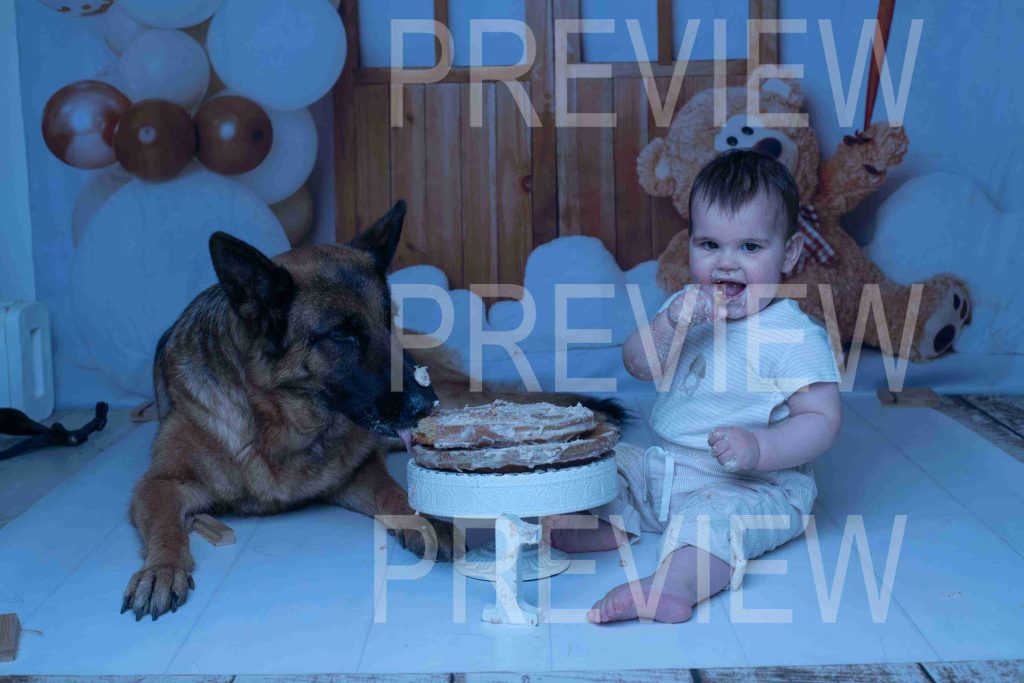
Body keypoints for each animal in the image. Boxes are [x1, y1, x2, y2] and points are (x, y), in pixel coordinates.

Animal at [121, 201, 624, 621]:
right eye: (342, 335)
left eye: (388, 321)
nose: (425, 404)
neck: (279, 426)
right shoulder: (158, 484)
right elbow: (166, 525)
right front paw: (161, 570)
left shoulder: (358, 470)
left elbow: (395, 493)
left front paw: (426, 521)